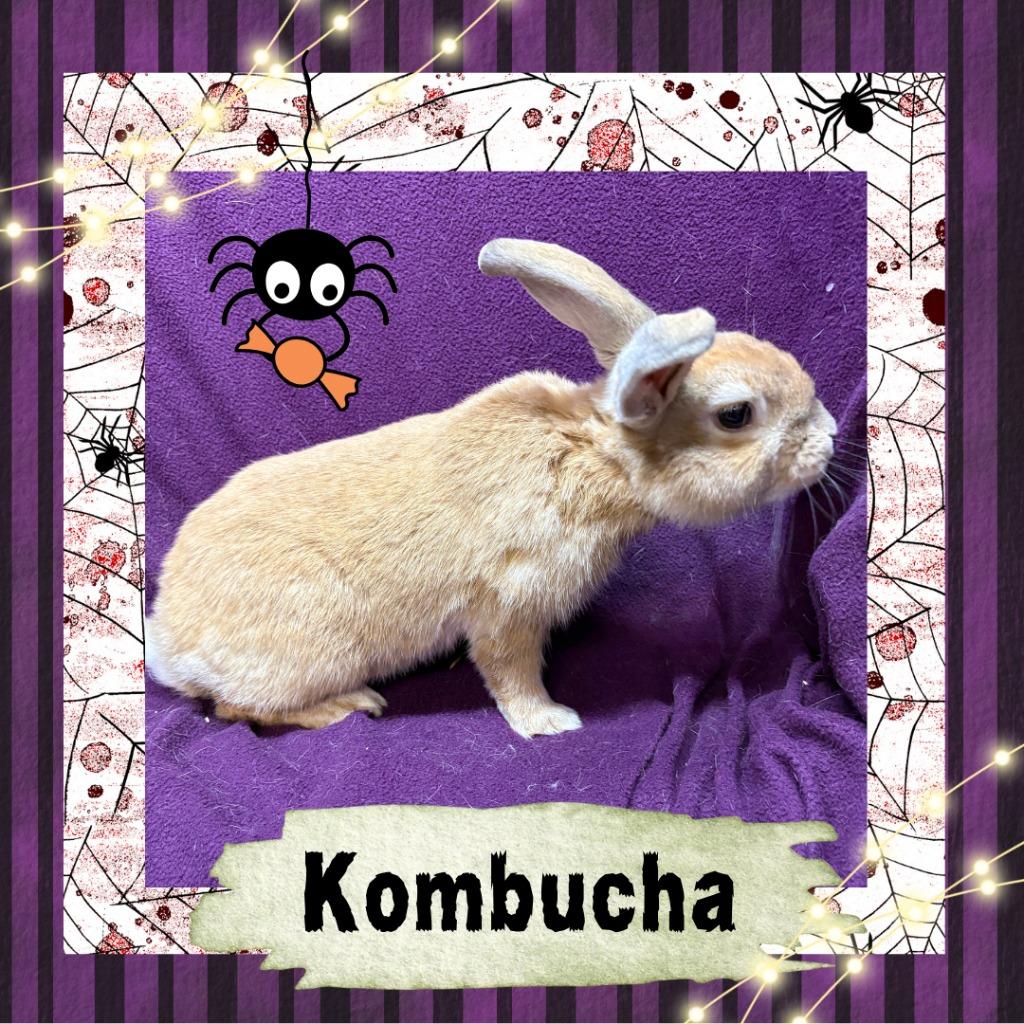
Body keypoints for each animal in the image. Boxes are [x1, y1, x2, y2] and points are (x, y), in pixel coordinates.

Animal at [147, 238, 837, 738]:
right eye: (736, 415)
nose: (830, 437)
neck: (594, 457)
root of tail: (170, 643)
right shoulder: (510, 605)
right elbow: (510, 672)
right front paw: (550, 723)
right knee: (237, 708)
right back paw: (354, 705)